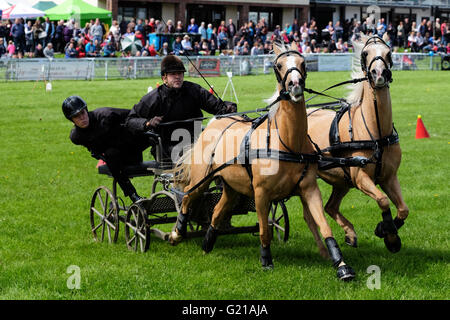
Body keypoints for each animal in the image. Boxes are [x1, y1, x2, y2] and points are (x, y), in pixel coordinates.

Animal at [169, 42, 356, 280]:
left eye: (303, 63)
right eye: (279, 65)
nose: (295, 85)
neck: (287, 142)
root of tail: (214, 122)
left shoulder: (309, 188)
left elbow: (323, 225)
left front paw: (341, 265)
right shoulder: (261, 194)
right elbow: (264, 230)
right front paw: (266, 260)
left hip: (231, 186)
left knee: (218, 210)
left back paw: (207, 243)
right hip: (202, 179)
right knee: (186, 198)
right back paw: (177, 233)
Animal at [308, 33, 410, 252]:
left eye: (388, 52)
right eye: (365, 53)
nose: (379, 73)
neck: (376, 134)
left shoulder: (389, 177)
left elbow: (403, 209)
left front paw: (387, 231)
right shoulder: (361, 177)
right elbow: (383, 200)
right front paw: (388, 234)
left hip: (341, 180)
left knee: (330, 207)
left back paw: (350, 234)